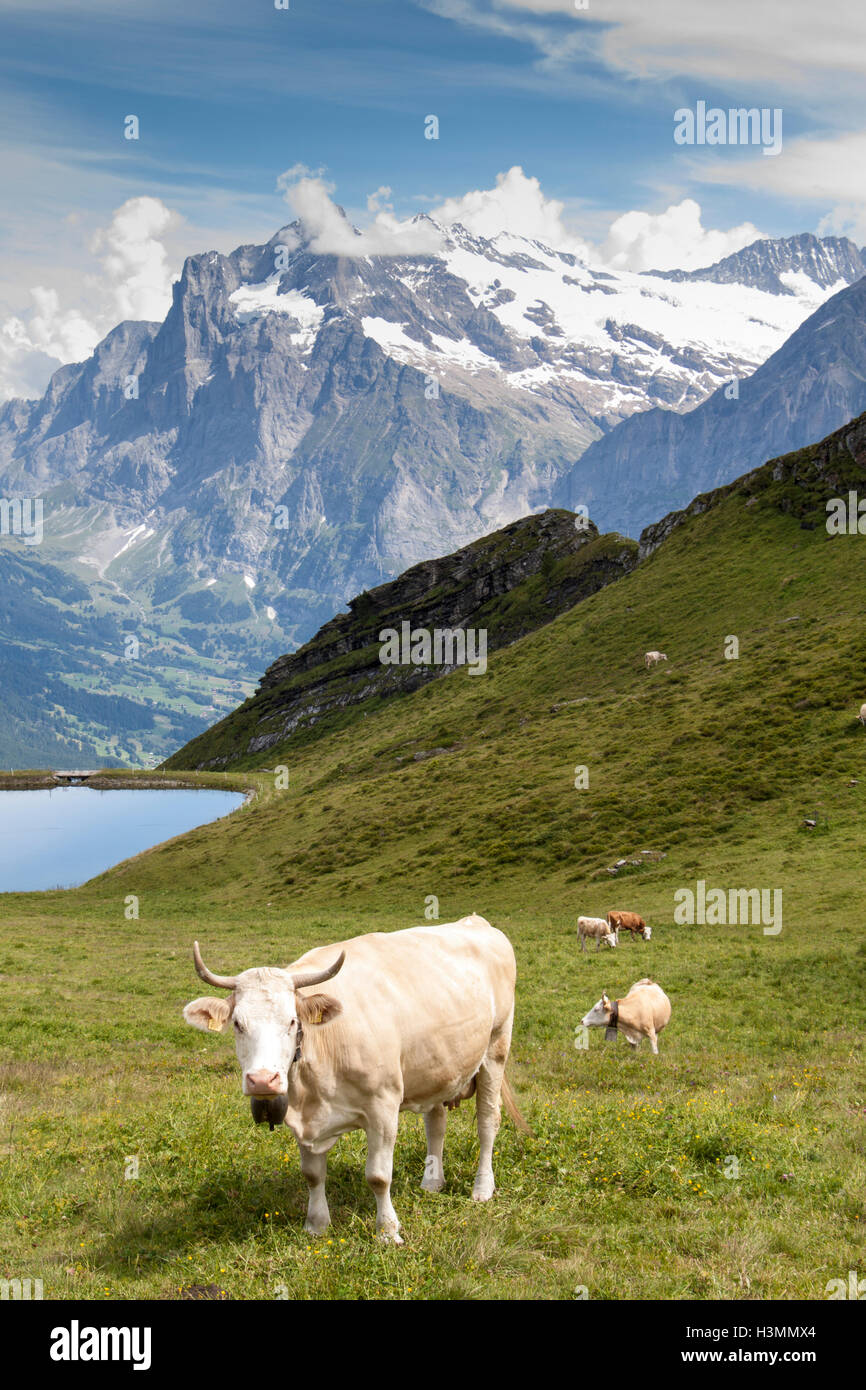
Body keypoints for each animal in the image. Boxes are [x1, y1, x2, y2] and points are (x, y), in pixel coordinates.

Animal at [182, 913, 529, 1244]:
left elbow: (378, 1176)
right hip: (436, 1067)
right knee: (436, 1123)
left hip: (495, 1049)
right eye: (238, 1024)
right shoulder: (303, 1118)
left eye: (292, 1021)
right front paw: (316, 1225)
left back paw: (482, 1187)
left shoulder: (383, 1108)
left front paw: (387, 1231)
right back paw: (432, 1181)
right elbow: (312, 1174)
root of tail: (476, 922)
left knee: (488, 1122)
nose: (263, 1081)